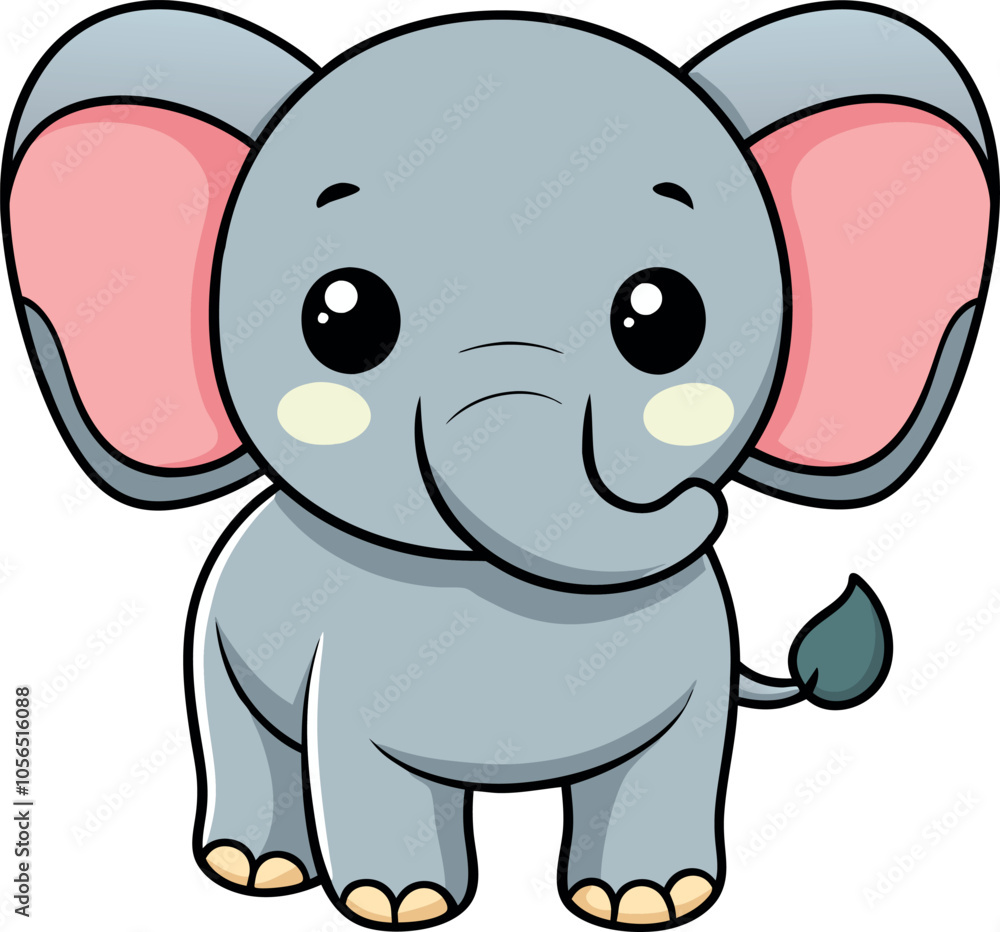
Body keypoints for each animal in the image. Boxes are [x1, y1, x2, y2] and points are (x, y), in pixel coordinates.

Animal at [3, 1, 996, 927]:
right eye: (342, 317)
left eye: (664, 317)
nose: (699, 503)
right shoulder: (343, 672)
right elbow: (360, 768)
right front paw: (397, 904)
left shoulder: (702, 662)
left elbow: (674, 763)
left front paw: (651, 901)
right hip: (212, 638)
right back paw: (258, 870)